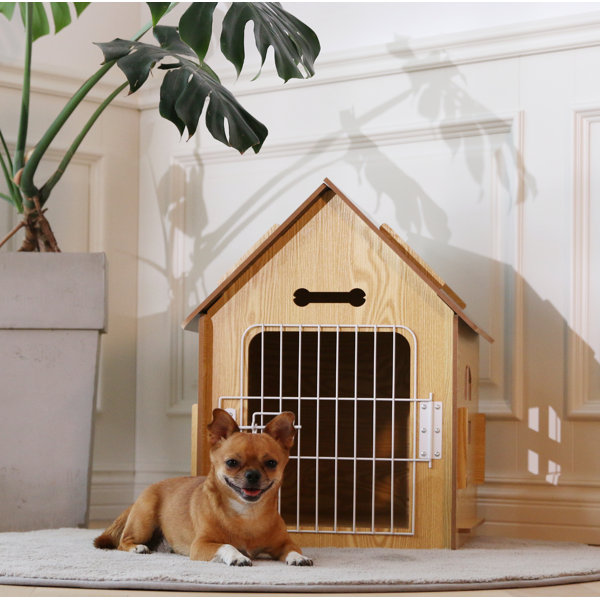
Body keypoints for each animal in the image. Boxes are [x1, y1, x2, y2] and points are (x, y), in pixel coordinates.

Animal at [95, 408, 310, 568]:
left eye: (271, 463)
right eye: (231, 462)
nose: (252, 474)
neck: (247, 513)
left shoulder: (284, 543)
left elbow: (293, 548)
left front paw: (299, 557)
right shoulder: (201, 545)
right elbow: (226, 545)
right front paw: (238, 556)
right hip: (144, 520)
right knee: (123, 541)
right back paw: (137, 547)